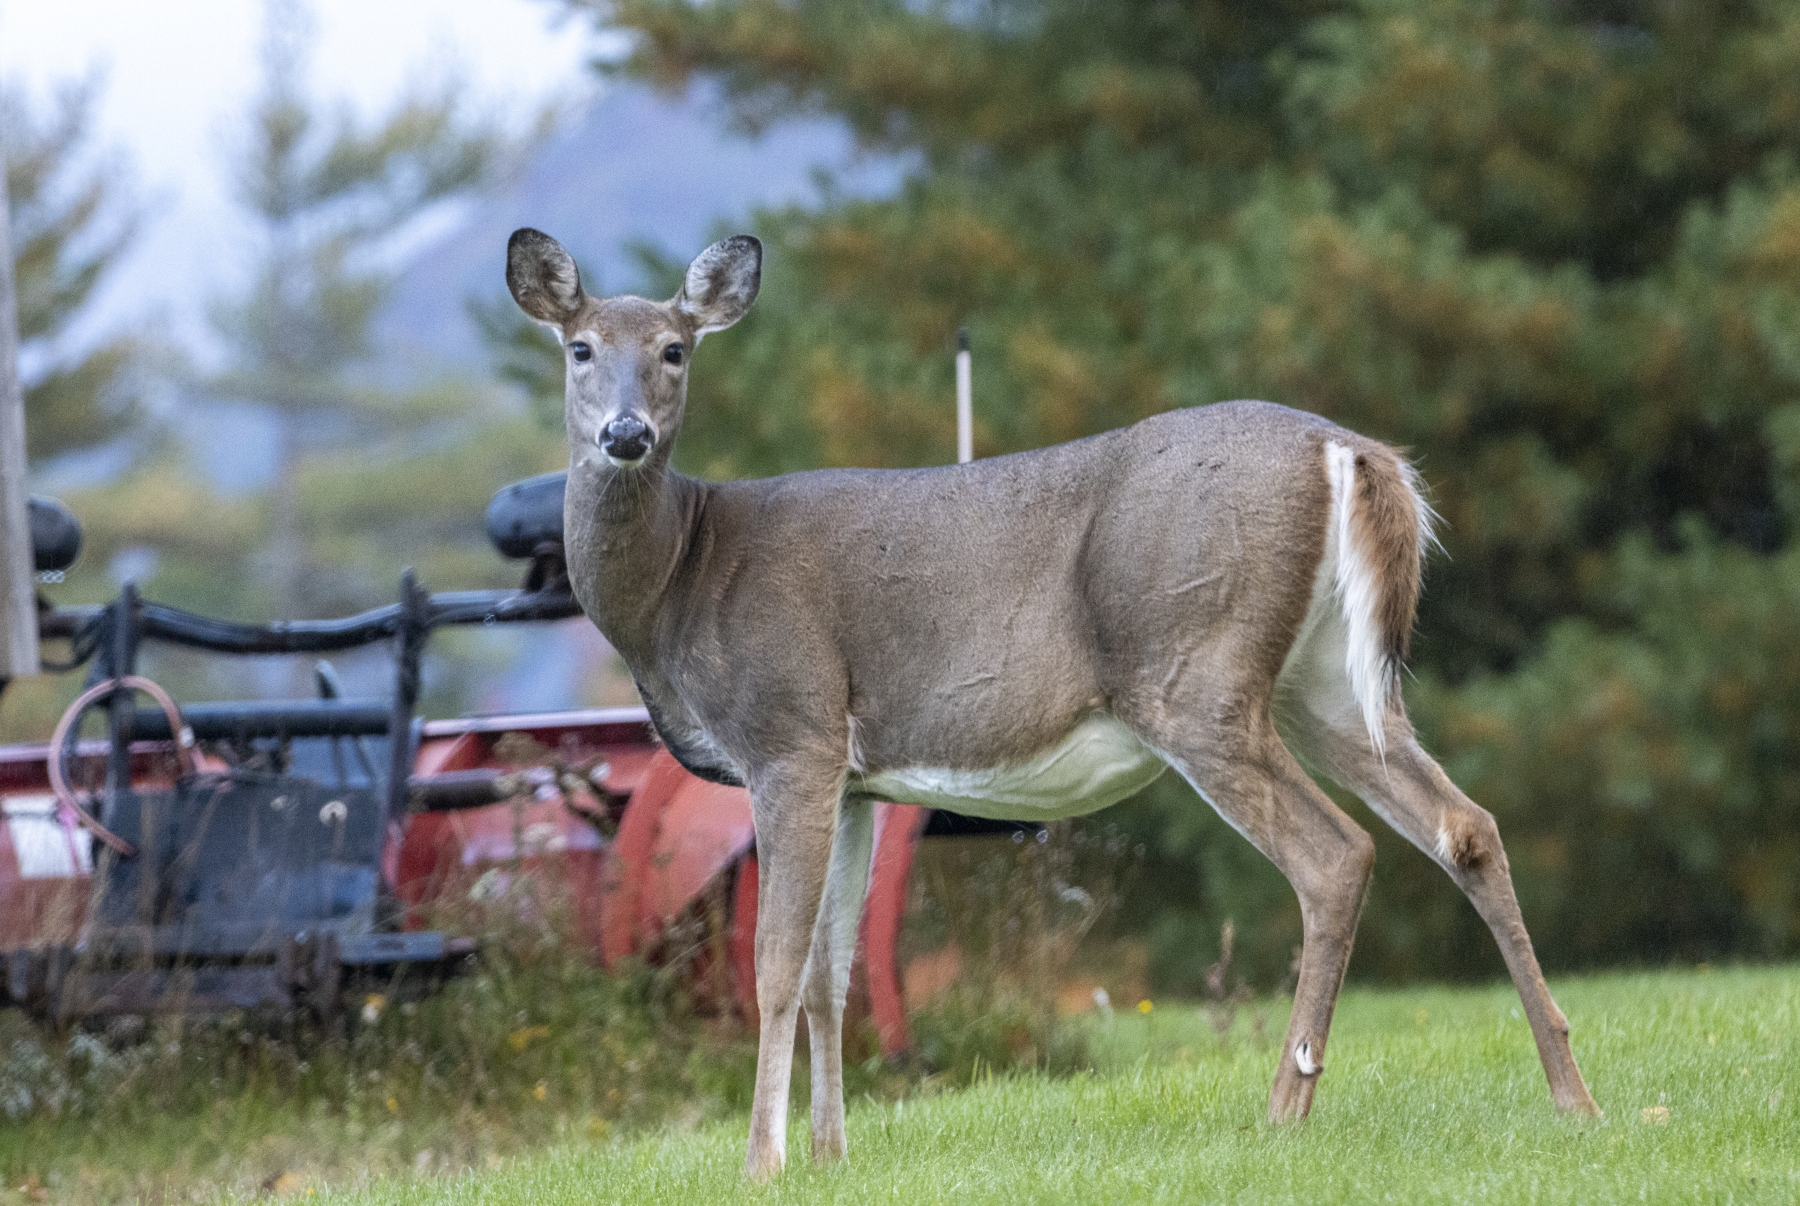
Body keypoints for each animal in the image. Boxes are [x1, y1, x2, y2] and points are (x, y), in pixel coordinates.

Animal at [504, 227, 1600, 1179]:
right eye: (580, 348)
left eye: (676, 349)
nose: (627, 433)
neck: (682, 582)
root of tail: (1356, 454)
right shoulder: (853, 779)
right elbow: (831, 974)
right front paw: (830, 1155)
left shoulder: (789, 733)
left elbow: (775, 968)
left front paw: (764, 1163)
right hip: (1325, 681)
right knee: (1465, 824)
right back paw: (1572, 1092)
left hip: (1192, 669)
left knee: (1337, 856)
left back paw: (1285, 1109)